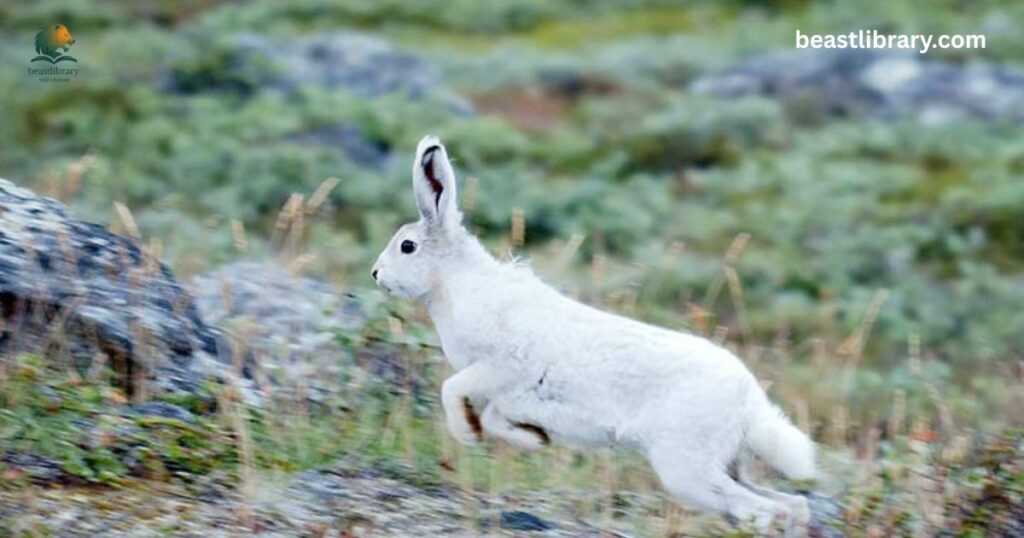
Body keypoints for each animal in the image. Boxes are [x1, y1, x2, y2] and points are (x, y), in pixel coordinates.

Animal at [371, 135, 816, 535]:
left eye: (407, 246)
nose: (376, 274)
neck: (452, 284)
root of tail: (748, 404)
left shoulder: (500, 368)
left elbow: (452, 389)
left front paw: (468, 433)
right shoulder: (513, 396)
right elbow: (497, 418)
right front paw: (534, 440)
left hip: (686, 466)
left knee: (763, 508)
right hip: (724, 464)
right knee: (790, 503)